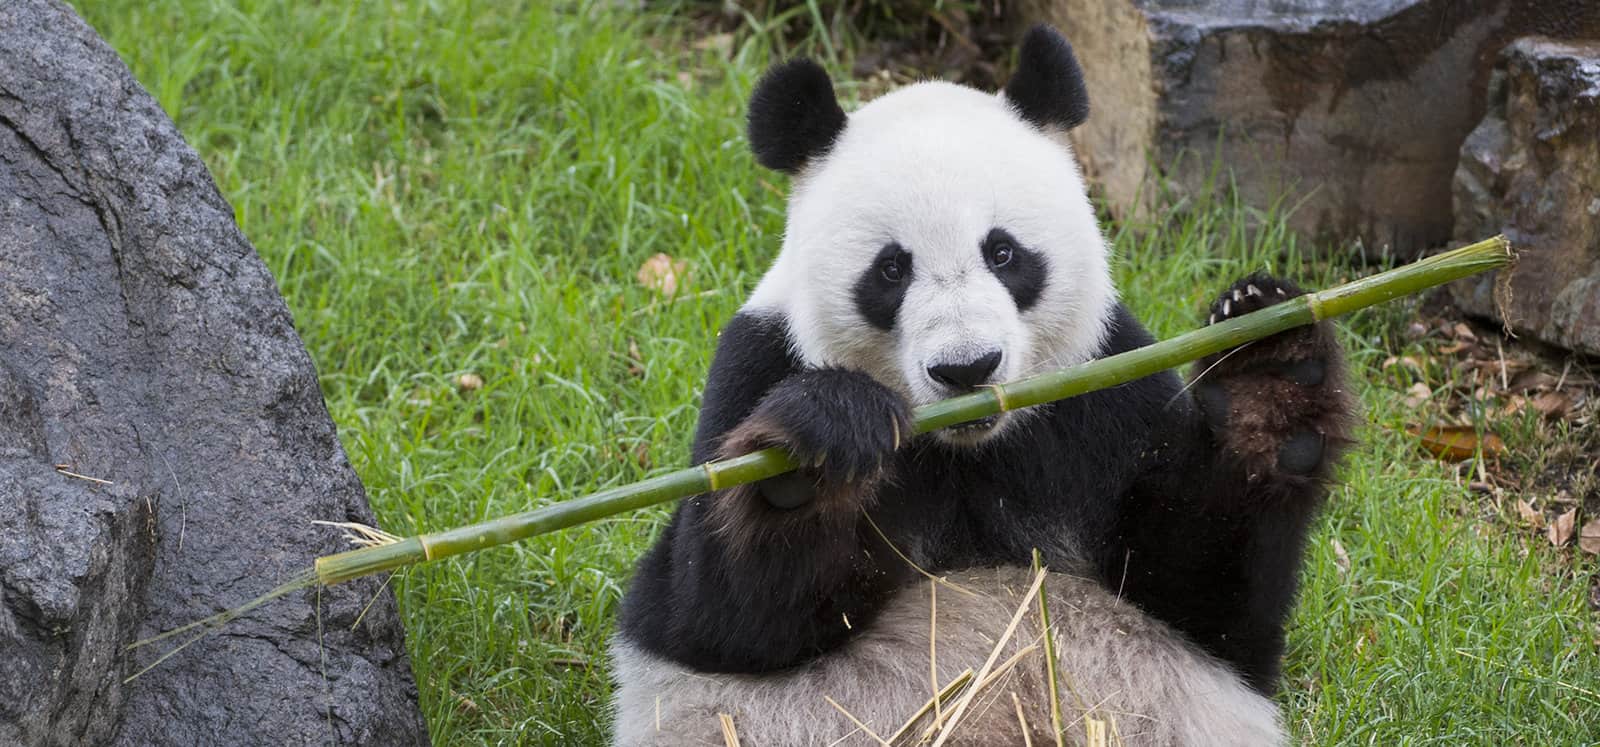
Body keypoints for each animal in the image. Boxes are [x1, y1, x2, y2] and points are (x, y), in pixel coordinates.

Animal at [608, 24, 1350, 747]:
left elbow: (1201, 586)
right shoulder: (757, 362)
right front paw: (817, 449)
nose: (967, 367)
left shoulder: (1107, 385)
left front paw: (1268, 375)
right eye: (891, 269)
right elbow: (715, 616)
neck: (968, 447)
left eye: (1004, 252)